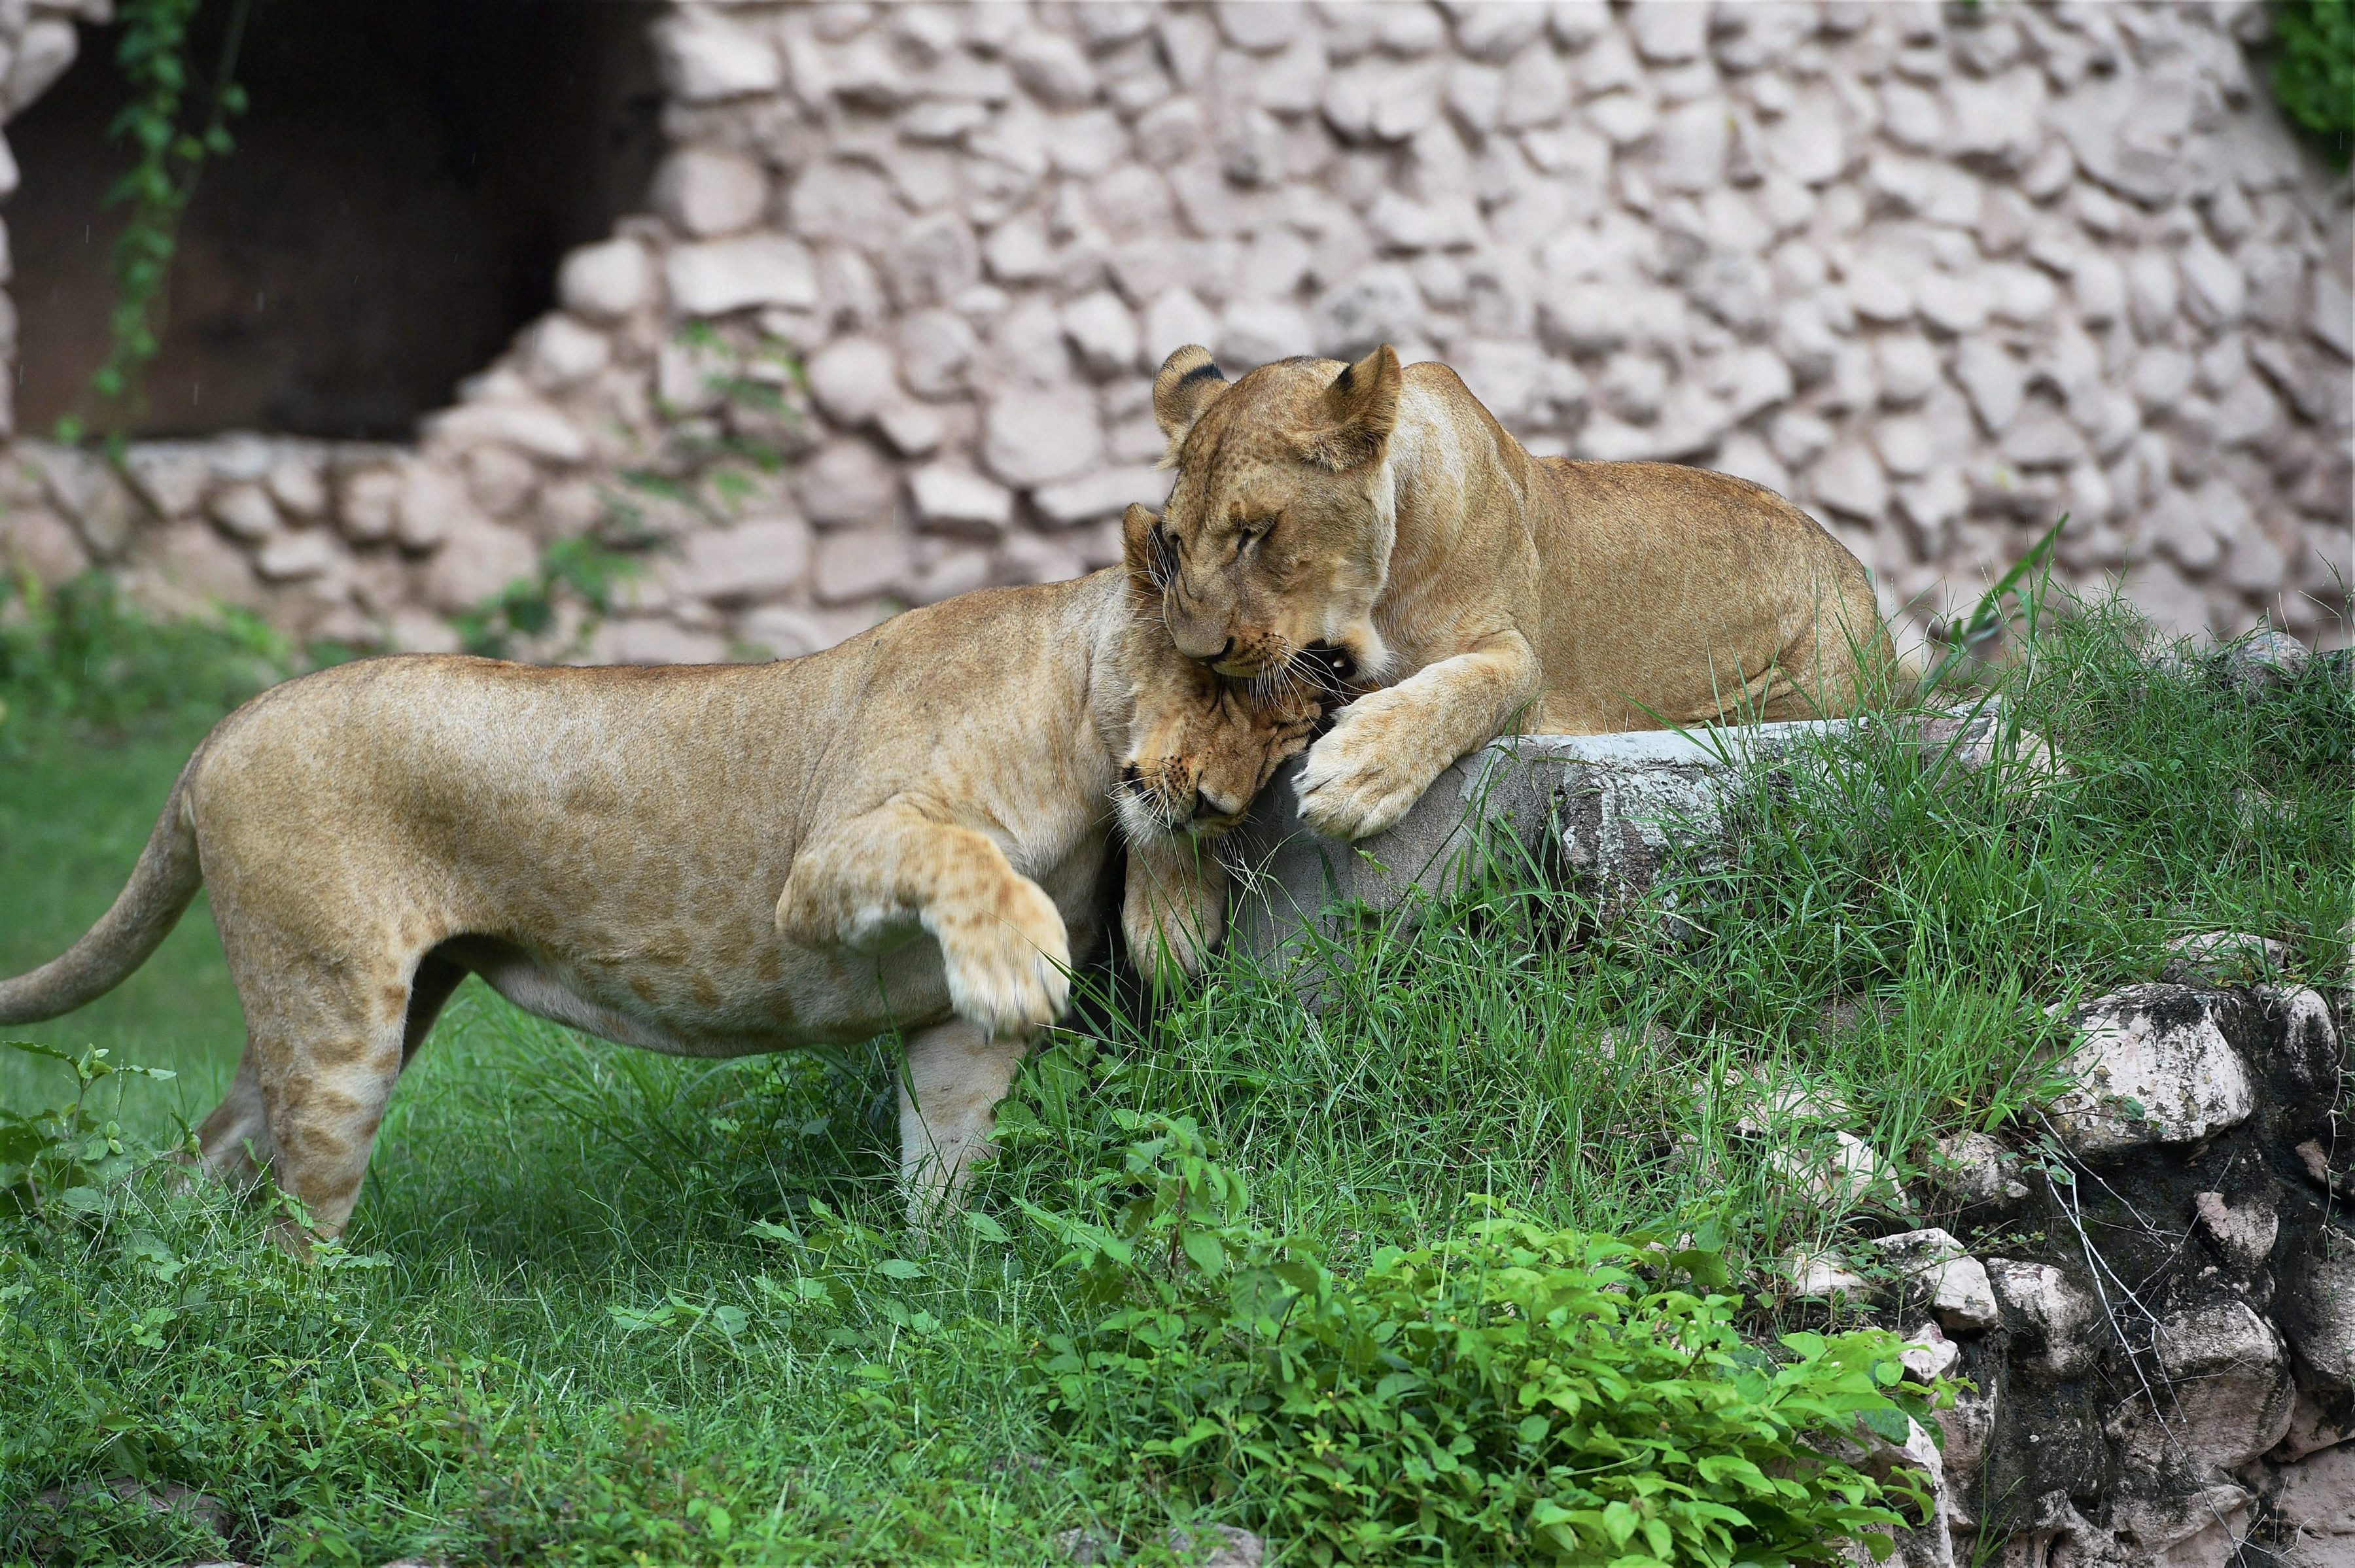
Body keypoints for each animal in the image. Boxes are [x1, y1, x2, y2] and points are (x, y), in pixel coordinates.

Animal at [0, 521, 1327, 1242]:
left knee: (207, 1162)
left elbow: (947, 1150)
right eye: (1230, 686)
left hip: (336, 1003)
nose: (1220, 807)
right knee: (295, 1217)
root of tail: (226, 726)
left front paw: (939, 1270)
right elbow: (959, 858)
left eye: (1295, 732)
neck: (1082, 736)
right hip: (342, 1023)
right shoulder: (825, 858)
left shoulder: (948, 1039)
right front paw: (1029, 960)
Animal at [1143, 343, 1899, 842]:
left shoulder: (1523, 664)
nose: (1198, 651)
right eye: (1174, 541)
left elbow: (1466, 689)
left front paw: (1359, 776)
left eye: (1255, 532)